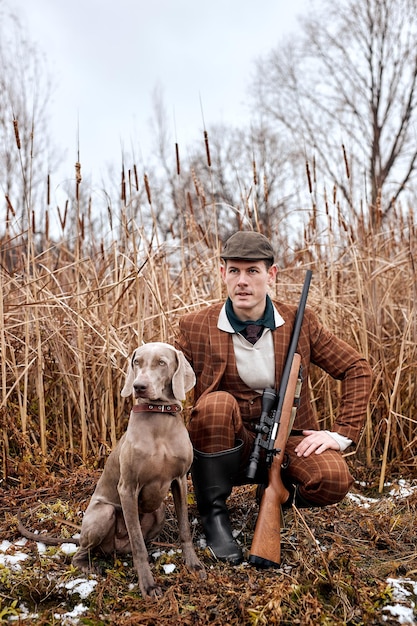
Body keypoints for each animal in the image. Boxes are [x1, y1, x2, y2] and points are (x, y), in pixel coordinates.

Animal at [74, 342, 207, 596]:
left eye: (162, 363)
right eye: (137, 362)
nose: (139, 386)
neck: (159, 417)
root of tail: (114, 548)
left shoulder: (180, 480)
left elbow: (185, 529)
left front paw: (193, 564)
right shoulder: (128, 488)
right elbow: (137, 545)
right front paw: (148, 584)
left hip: (159, 512)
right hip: (103, 513)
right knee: (81, 552)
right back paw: (88, 566)